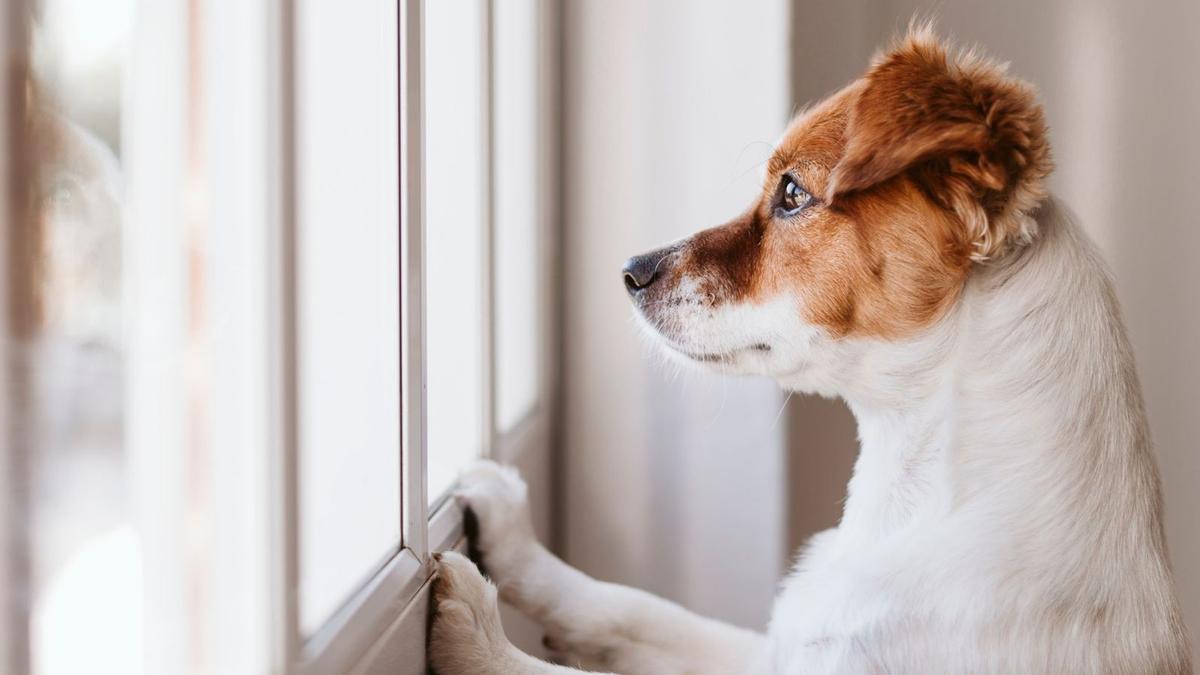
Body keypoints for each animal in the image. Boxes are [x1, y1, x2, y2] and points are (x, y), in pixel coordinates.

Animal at [429, 27, 1190, 672]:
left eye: (792, 193)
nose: (631, 271)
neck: (915, 499)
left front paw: (481, 634)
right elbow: (635, 608)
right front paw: (516, 541)